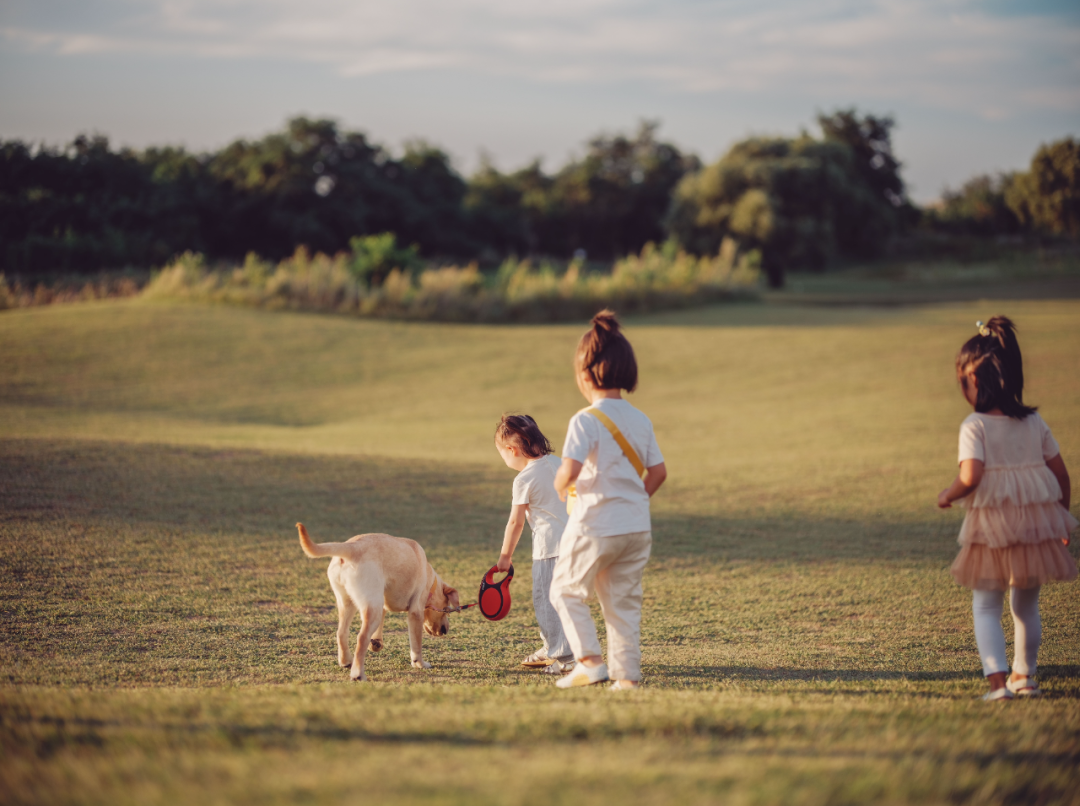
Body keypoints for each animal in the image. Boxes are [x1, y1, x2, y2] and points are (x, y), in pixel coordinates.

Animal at [295, 520, 460, 678]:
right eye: (446, 610)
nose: (445, 631)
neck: (431, 581)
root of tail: (351, 547)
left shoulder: (382, 602)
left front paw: (376, 642)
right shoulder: (415, 611)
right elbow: (416, 644)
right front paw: (419, 663)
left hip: (350, 603)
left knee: (341, 633)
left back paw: (346, 661)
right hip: (370, 605)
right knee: (361, 637)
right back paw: (358, 674)